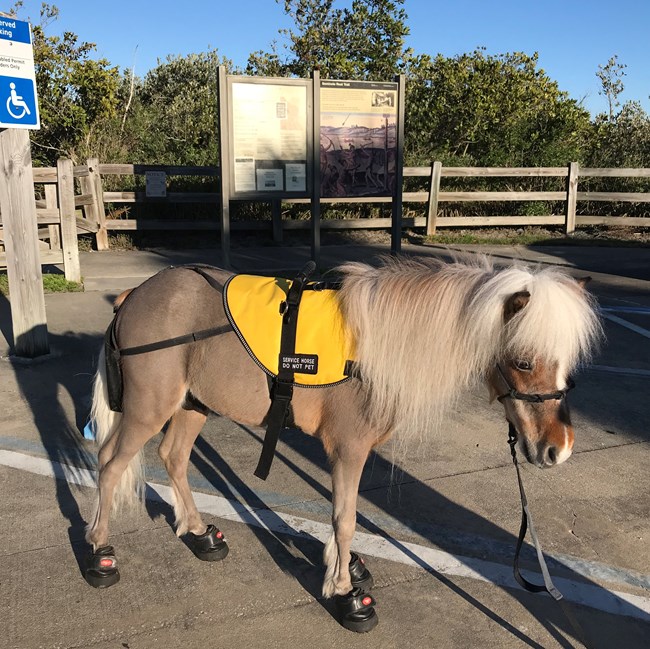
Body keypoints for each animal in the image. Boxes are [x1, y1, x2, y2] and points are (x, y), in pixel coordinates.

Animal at [83, 256, 600, 632]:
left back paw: (197, 532)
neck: (379, 346)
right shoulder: (348, 449)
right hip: (148, 409)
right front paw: (345, 592)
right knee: (109, 464)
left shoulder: (349, 454)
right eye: (524, 361)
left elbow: (342, 515)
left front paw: (343, 567)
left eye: (567, 360)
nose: (558, 449)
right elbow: (345, 518)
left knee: (173, 457)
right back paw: (100, 552)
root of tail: (135, 295)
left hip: (193, 403)